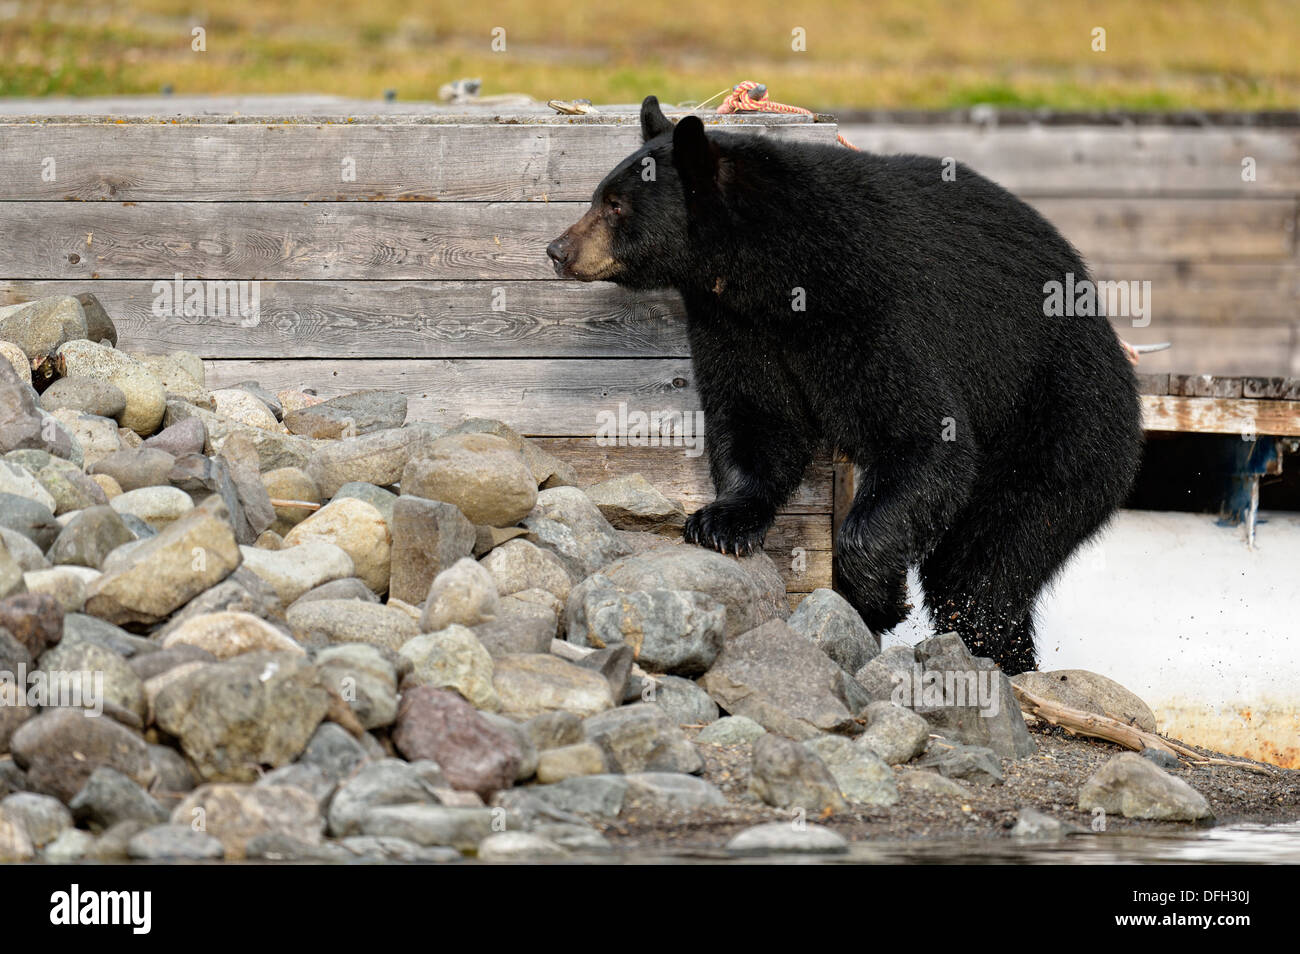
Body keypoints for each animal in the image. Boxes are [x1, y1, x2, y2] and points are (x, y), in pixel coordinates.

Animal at [543, 95, 1144, 670]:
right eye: (598, 195)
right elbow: (757, 417)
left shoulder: (873, 305)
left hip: (1058, 417)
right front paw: (721, 522)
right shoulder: (736, 323)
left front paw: (878, 599)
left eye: (614, 204)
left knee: (992, 559)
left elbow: (923, 437)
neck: (770, 269)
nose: (557, 249)